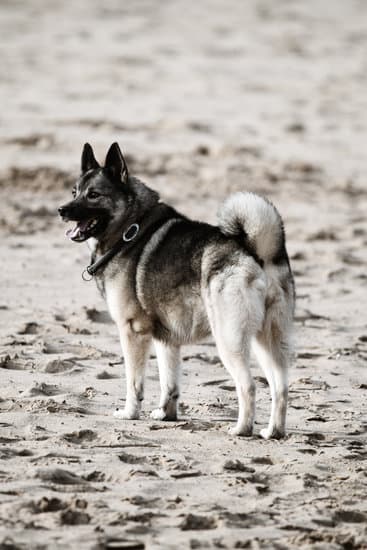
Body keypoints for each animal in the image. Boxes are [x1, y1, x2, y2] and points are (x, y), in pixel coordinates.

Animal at [60, 142, 296, 440]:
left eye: (93, 195)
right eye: (74, 192)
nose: (61, 210)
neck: (129, 229)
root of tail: (255, 253)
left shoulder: (132, 331)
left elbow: (133, 382)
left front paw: (129, 413)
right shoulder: (166, 339)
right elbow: (168, 383)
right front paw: (166, 414)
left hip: (229, 340)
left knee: (248, 385)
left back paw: (241, 429)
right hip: (266, 340)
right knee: (281, 387)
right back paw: (273, 431)